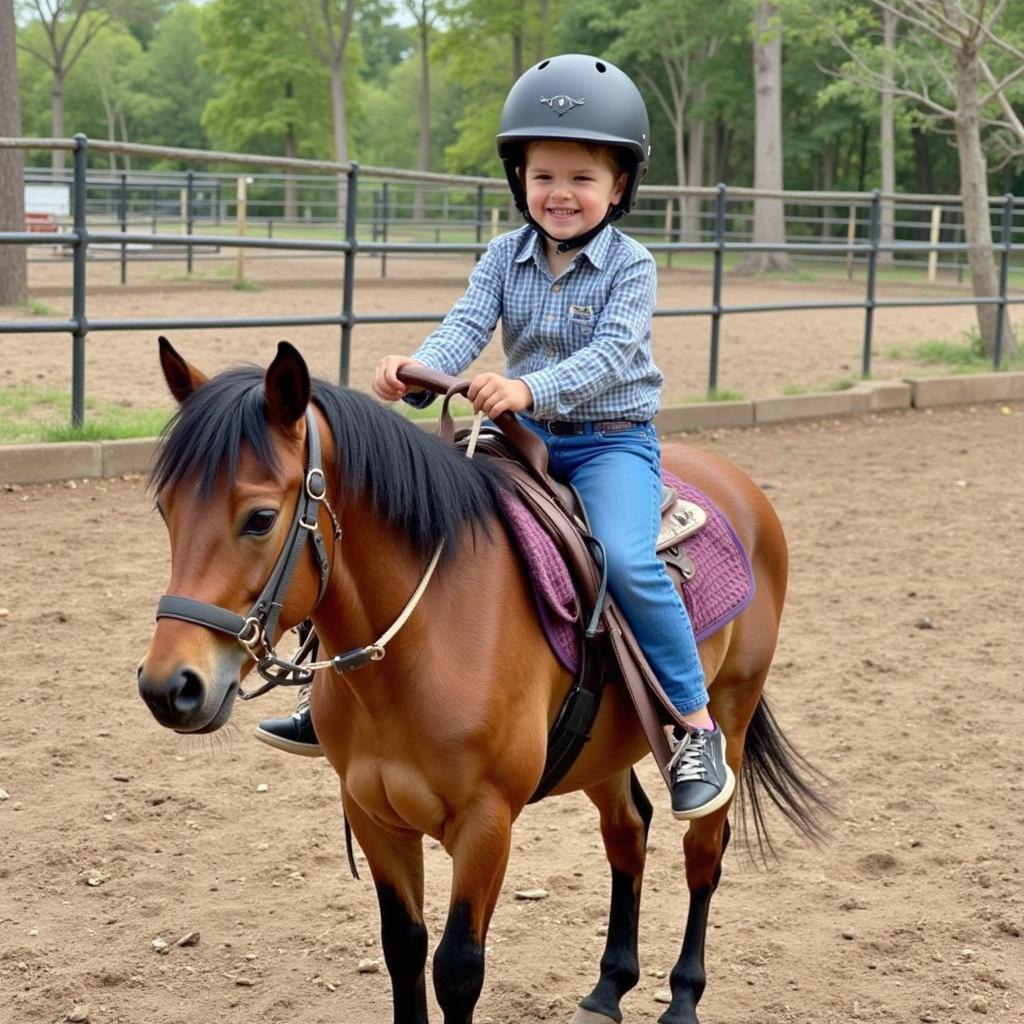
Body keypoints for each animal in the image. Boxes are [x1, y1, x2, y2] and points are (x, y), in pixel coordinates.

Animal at [138, 339, 823, 1024]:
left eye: (259, 518)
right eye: (165, 510)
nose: (169, 686)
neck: (426, 638)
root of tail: (737, 485)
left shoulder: (486, 822)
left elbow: (458, 969)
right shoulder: (371, 814)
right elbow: (404, 949)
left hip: (731, 714)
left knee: (704, 852)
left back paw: (682, 998)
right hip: (603, 748)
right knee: (628, 833)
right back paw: (608, 988)